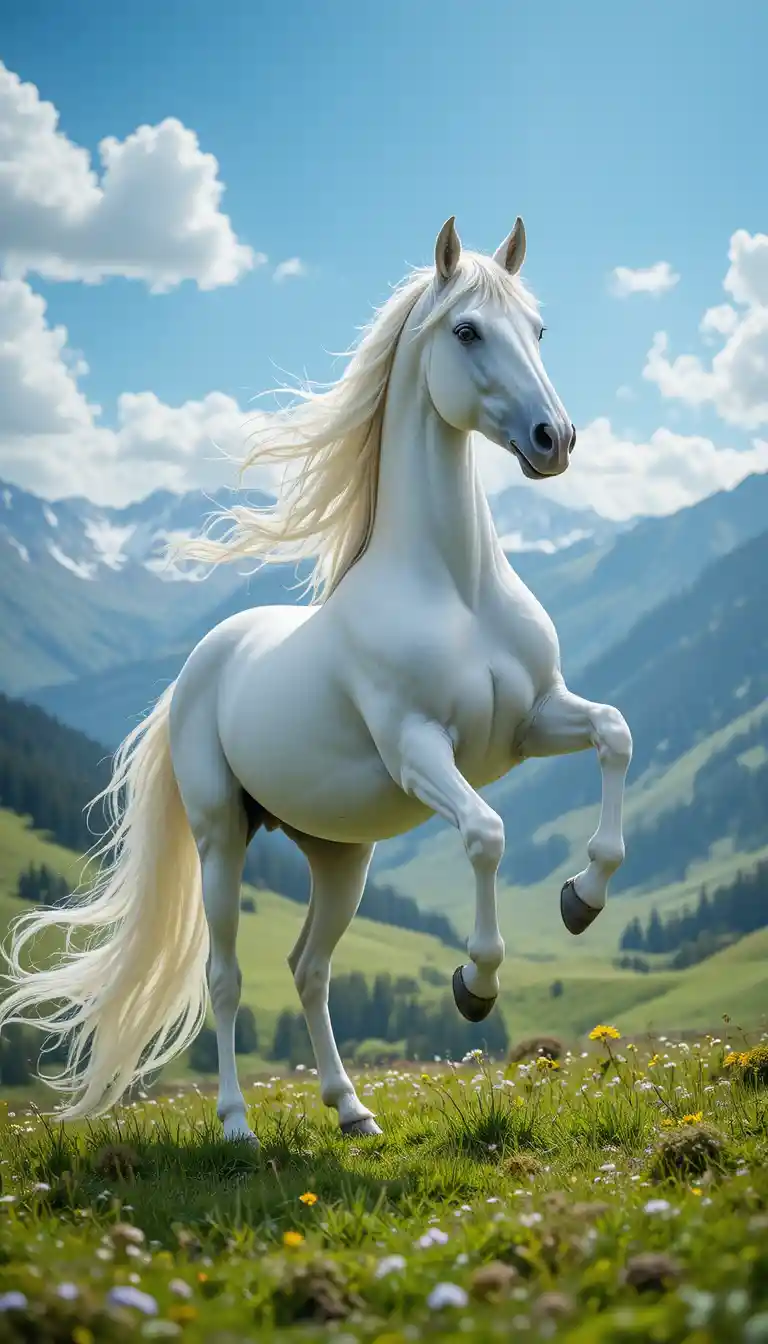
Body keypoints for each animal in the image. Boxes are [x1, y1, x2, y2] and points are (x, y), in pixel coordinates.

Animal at [0, 217, 632, 1142]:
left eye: (539, 330)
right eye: (467, 331)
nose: (556, 439)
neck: (456, 588)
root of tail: (197, 669)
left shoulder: (534, 721)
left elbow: (614, 733)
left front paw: (581, 898)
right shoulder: (422, 751)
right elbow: (486, 834)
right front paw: (474, 985)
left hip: (341, 855)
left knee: (308, 967)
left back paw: (351, 1108)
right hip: (222, 837)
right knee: (225, 976)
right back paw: (236, 1124)